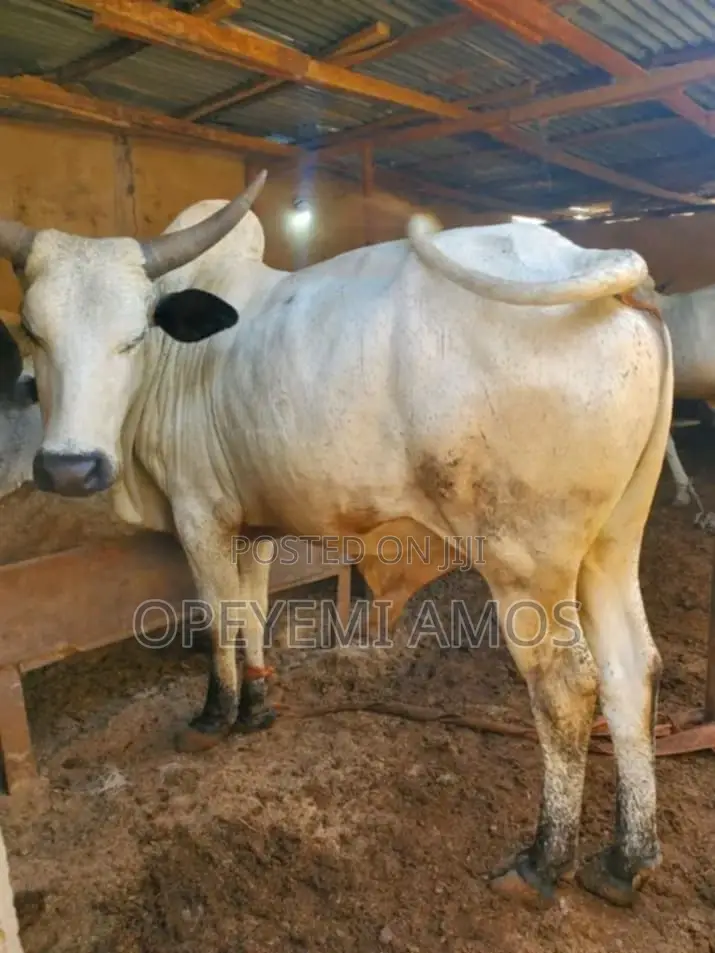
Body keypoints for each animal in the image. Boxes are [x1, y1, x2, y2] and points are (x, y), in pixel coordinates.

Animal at [0, 171, 673, 910]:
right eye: (33, 330)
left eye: (134, 335)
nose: (70, 467)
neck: (179, 365)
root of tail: (596, 261)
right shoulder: (252, 524)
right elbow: (252, 612)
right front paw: (257, 707)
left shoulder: (200, 515)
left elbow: (216, 618)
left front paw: (213, 716)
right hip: (612, 543)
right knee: (630, 667)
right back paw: (625, 860)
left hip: (524, 559)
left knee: (566, 687)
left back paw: (542, 862)